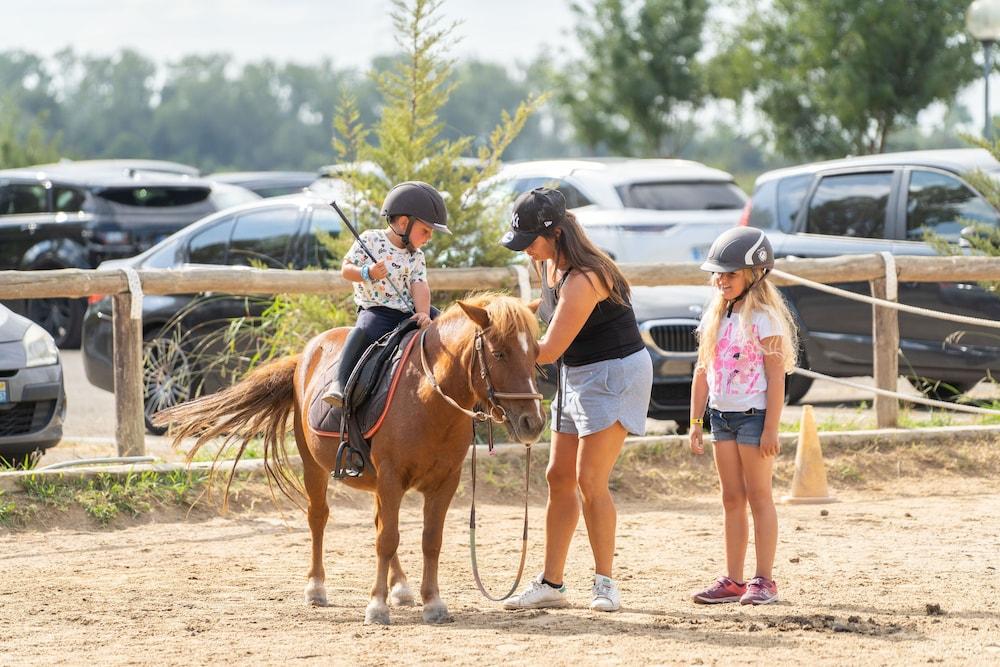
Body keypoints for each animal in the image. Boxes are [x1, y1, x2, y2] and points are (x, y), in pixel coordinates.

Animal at [156, 294, 548, 628]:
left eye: (534, 353)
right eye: (498, 354)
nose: (533, 422)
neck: (428, 396)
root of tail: (304, 356)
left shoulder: (444, 482)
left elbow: (429, 540)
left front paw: (432, 603)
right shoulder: (391, 477)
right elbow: (387, 539)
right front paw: (376, 607)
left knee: (378, 523)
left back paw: (400, 587)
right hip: (314, 466)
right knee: (319, 519)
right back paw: (316, 588)